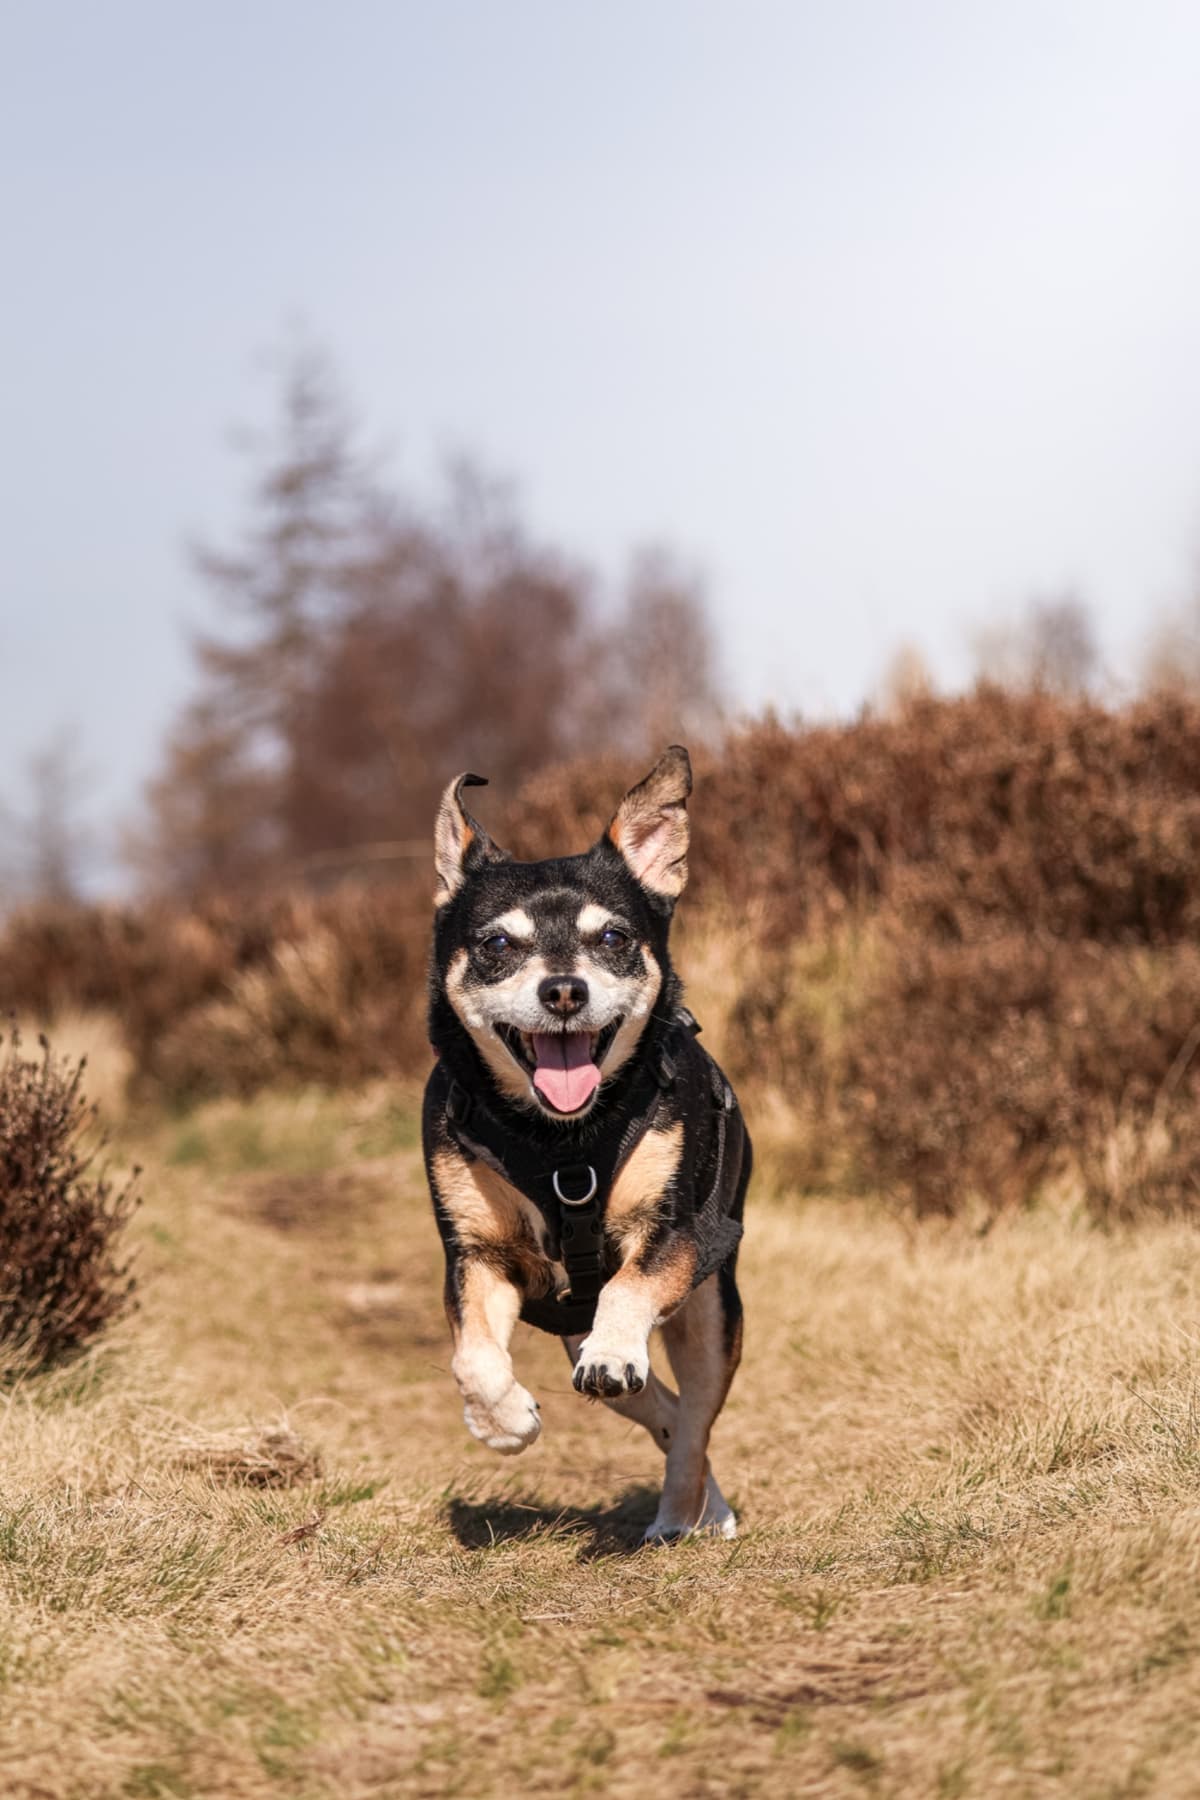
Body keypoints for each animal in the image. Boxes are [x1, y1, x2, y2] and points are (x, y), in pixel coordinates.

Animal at [422, 746, 751, 1542]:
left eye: (613, 938)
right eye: (497, 944)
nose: (565, 991)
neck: (558, 1139)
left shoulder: (676, 1233)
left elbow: (633, 1288)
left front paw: (611, 1354)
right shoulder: (477, 1254)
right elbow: (470, 1354)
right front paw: (503, 1421)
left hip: (711, 1307)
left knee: (693, 1414)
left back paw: (686, 1512)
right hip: (574, 1317)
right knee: (662, 1409)